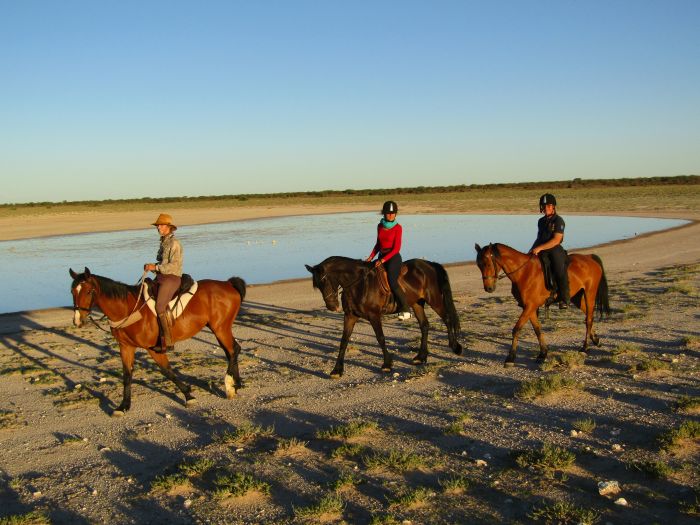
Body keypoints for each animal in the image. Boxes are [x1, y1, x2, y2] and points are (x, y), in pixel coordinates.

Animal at [70, 268, 246, 416]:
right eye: (72, 291)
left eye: (89, 291)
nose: (78, 320)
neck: (129, 309)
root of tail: (228, 284)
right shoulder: (126, 347)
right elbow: (127, 375)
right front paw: (123, 406)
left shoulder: (153, 348)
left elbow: (167, 371)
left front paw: (188, 395)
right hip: (219, 328)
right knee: (232, 350)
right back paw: (236, 384)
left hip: (220, 328)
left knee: (233, 351)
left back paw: (229, 385)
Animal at [304, 255, 462, 374]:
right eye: (317, 285)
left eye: (324, 280)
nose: (332, 306)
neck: (358, 284)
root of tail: (429, 264)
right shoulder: (350, 316)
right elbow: (344, 341)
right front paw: (337, 370)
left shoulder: (374, 315)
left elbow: (380, 338)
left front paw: (387, 364)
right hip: (417, 304)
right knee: (424, 326)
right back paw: (421, 357)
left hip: (434, 300)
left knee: (447, 319)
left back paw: (455, 347)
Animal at [474, 244, 608, 366]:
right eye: (479, 265)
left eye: (488, 264)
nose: (488, 288)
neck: (523, 273)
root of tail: (589, 257)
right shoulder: (529, 307)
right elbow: (537, 329)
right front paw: (543, 353)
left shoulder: (530, 306)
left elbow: (517, 329)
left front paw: (510, 358)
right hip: (577, 297)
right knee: (588, 316)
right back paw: (595, 339)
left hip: (589, 293)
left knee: (589, 319)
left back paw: (585, 347)